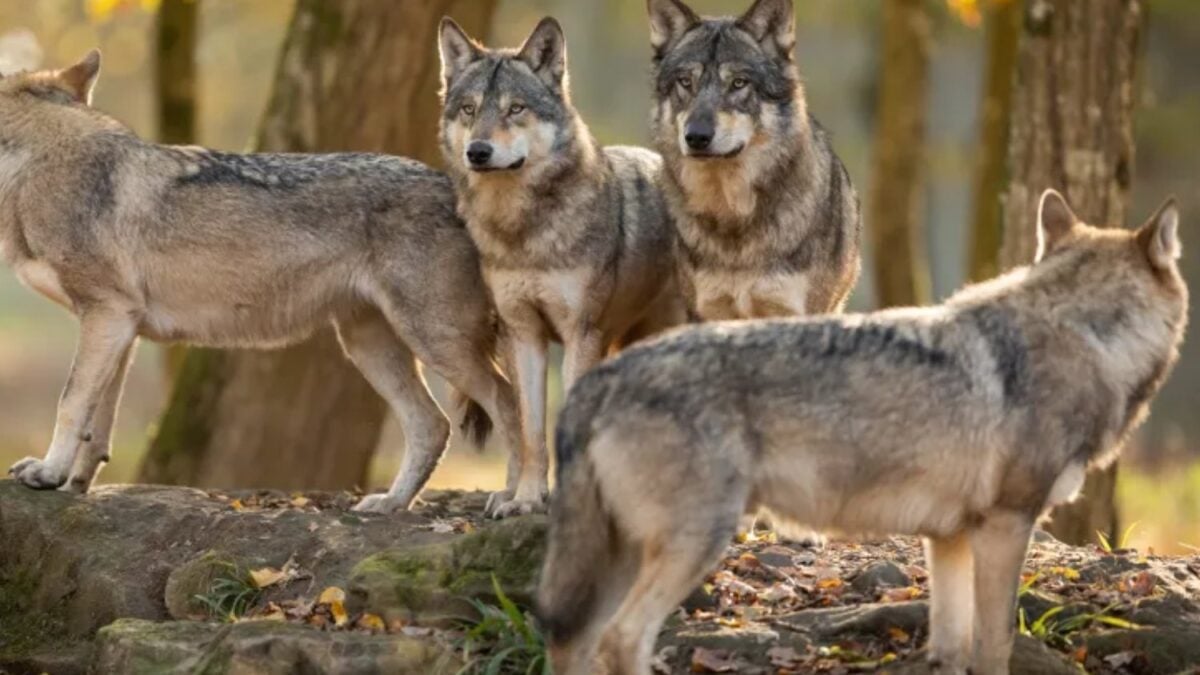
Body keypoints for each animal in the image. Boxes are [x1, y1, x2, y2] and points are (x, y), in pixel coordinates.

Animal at [0, 51, 522, 515]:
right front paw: (76, 485)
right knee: (432, 425)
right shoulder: (121, 328)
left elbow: (70, 402)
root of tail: (459, 189)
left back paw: (515, 501)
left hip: (433, 342)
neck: (33, 165)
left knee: (507, 402)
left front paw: (48, 474)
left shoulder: (105, 316)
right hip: (369, 346)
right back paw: (392, 503)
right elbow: (98, 422)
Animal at [438, 17, 684, 518]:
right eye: (470, 110)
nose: (478, 151)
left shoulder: (579, 334)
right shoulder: (524, 334)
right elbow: (532, 431)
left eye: (515, 109)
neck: (524, 232)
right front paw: (526, 498)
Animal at [537, 190, 1188, 675]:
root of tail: (599, 382)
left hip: (622, 558)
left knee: (575, 642)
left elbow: (952, 649)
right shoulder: (1006, 525)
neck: (1085, 335)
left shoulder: (950, 538)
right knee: (622, 639)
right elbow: (995, 644)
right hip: (693, 543)